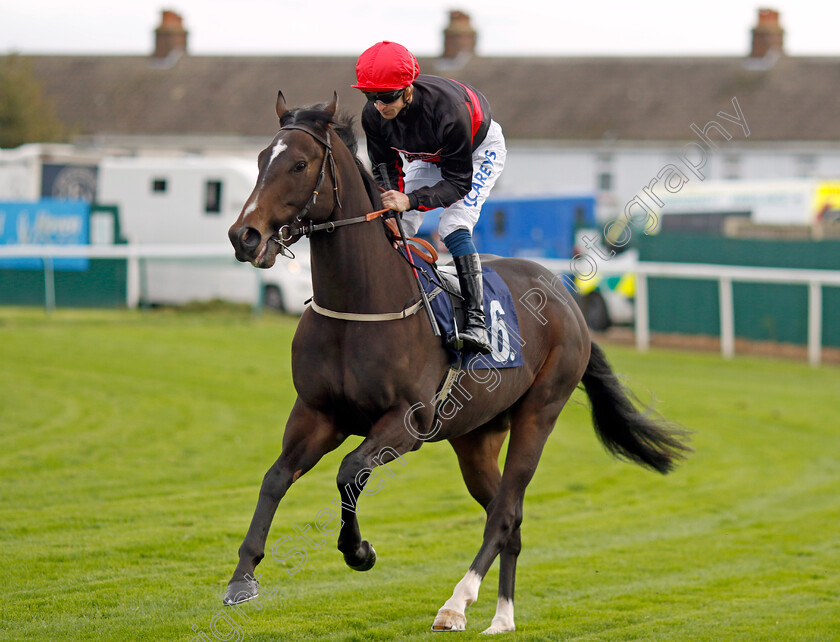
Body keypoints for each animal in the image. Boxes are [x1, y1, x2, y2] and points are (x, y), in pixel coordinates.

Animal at [225, 92, 688, 632]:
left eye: (299, 164)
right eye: (262, 159)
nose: (245, 236)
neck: (361, 307)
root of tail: (564, 295)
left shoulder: (407, 421)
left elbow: (350, 470)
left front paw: (359, 551)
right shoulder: (317, 414)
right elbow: (275, 477)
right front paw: (242, 577)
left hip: (538, 414)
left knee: (505, 512)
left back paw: (457, 603)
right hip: (476, 435)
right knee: (508, 516)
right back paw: (502, 617)